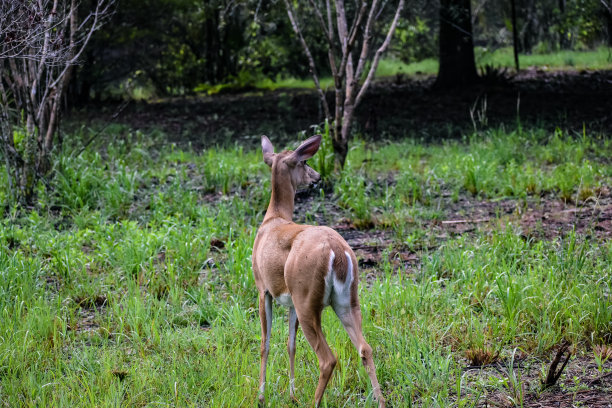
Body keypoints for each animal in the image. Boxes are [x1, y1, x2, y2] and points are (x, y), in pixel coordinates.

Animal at [251, 135, 384, 406]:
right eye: (305, 162)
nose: (317, 176)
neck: (273, 218)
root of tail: (338, 251)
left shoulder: (263, 288)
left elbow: (265, 343)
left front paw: (261, 396)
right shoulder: (288, 299)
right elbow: (290, 344)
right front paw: (291, 393)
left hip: (307, 299)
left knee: (328, 359)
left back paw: (315, 401)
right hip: (347, 300)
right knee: (365, 348)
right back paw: (382, 401)